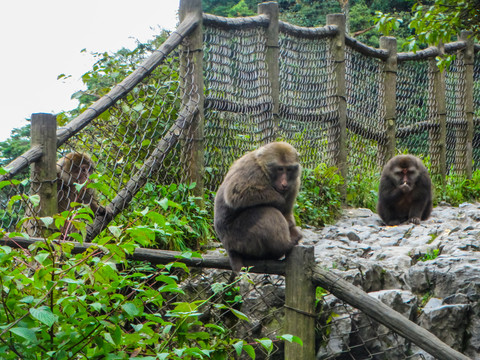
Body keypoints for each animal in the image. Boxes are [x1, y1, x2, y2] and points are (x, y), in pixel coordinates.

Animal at [215, 142, 304, 272]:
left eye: (288, 169)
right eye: (280, 169)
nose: (284, 183)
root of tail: (228, 248)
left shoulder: (294, 183)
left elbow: (287, 213)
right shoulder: (252, 170)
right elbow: (235, 194)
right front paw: (279, 200)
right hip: (238, 238)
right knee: (267, 212)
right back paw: (285, 245)